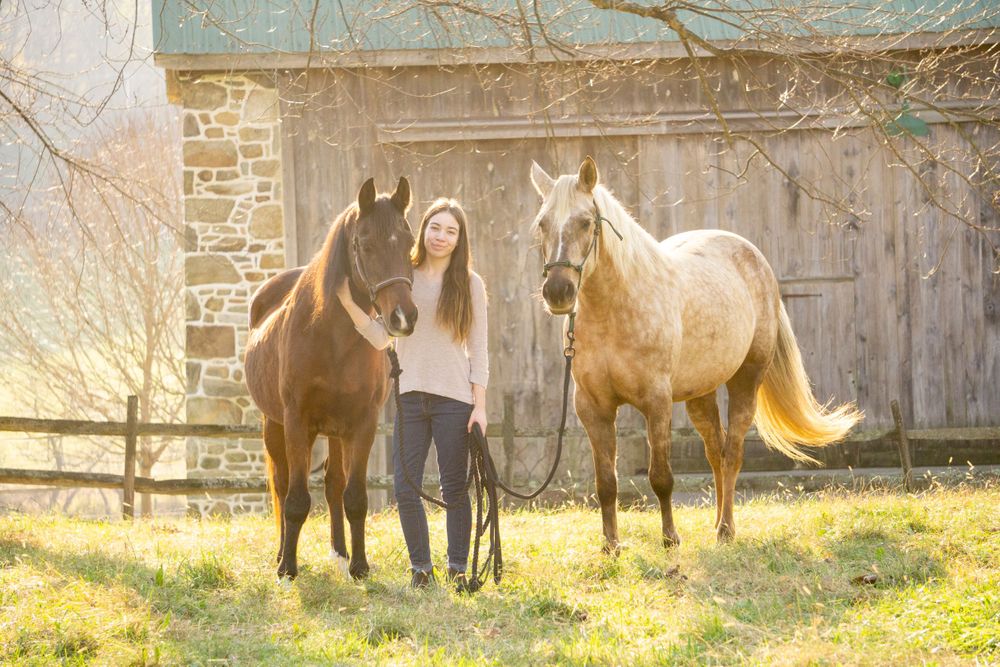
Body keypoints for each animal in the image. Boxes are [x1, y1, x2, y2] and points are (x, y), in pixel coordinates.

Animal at [245, 177, 418, 579]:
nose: (404, 317)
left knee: (334, 483)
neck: (333, 337)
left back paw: (339, 552)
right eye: (366, 245)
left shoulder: (363, 423)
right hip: (275, 424)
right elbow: (295, 499)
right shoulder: (297, 422)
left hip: (337, 432)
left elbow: (354, 497)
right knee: (282, 485)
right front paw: (288, 569)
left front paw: (360, 565)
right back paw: (283, 553)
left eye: (409, 244)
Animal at [529, 156, 861, 550]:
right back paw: (717, 523)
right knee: (715, 453)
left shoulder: (656, 402)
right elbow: (606, 483)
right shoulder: (593, 408)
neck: (616, 309)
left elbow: (661, 476)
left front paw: (670, 539)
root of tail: (756, 261)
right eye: (542, 224)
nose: (558, 292)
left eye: (585, 222)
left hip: (746, 381)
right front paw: (611, 546)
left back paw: (726, 529)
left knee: (732, 454)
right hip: (700, 394)